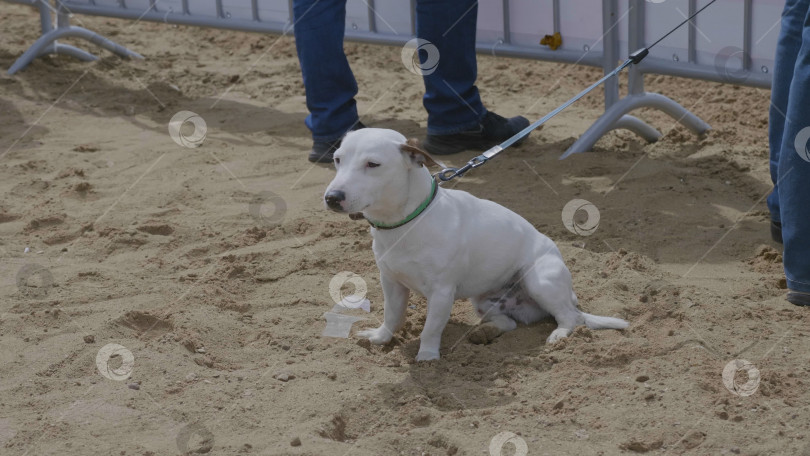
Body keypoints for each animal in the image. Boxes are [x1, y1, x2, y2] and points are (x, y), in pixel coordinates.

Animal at [322, 127, 624, 360]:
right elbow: (392, 315)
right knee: (509, 323)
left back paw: (559, 335)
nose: (332, 197)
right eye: (337, 159)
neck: (405, 223)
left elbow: (430, 328)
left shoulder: (441, 293)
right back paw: (484, 333)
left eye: (372, 164)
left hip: (541, 281)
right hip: (483, 301)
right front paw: (381, 338)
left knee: (570, 318)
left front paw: (427, 357)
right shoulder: (391, 282)